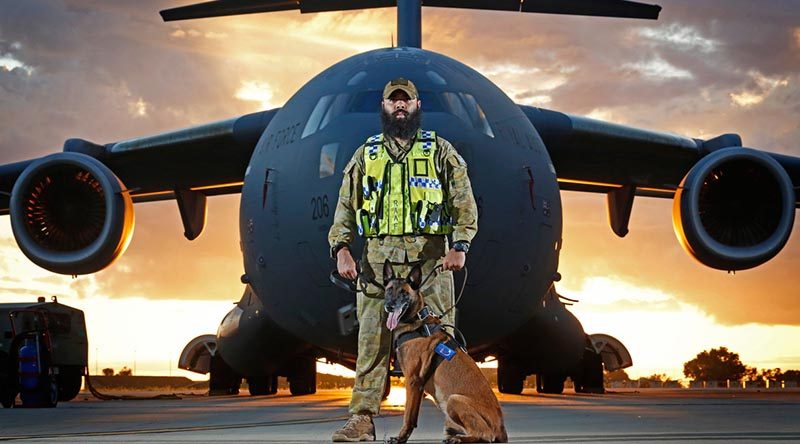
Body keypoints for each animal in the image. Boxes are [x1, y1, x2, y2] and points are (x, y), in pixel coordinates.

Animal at [382, 260, 506, 444]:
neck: (416, 321)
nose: (390, 306)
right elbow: (412, 417)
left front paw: (400, 438)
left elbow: (408, 416)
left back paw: (458, 439)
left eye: (404, 293)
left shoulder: (413, 381)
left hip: (454, 399)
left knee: (486, 435)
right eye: (389, 289)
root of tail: (502, 428)